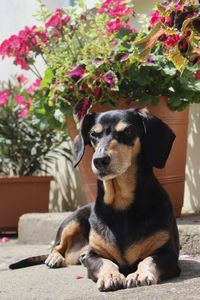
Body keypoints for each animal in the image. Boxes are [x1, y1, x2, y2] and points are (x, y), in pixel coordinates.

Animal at [10, 109, 180, 292]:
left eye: (128, 131)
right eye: (93, 134)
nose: (99, 160)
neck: (122, 207)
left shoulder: (168, 255)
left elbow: (149, 260)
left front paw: (139, 274)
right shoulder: (94, 255)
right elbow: (105, 262)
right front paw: (111, 275)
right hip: (73, 221)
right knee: (57, 246)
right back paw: (55, 258)